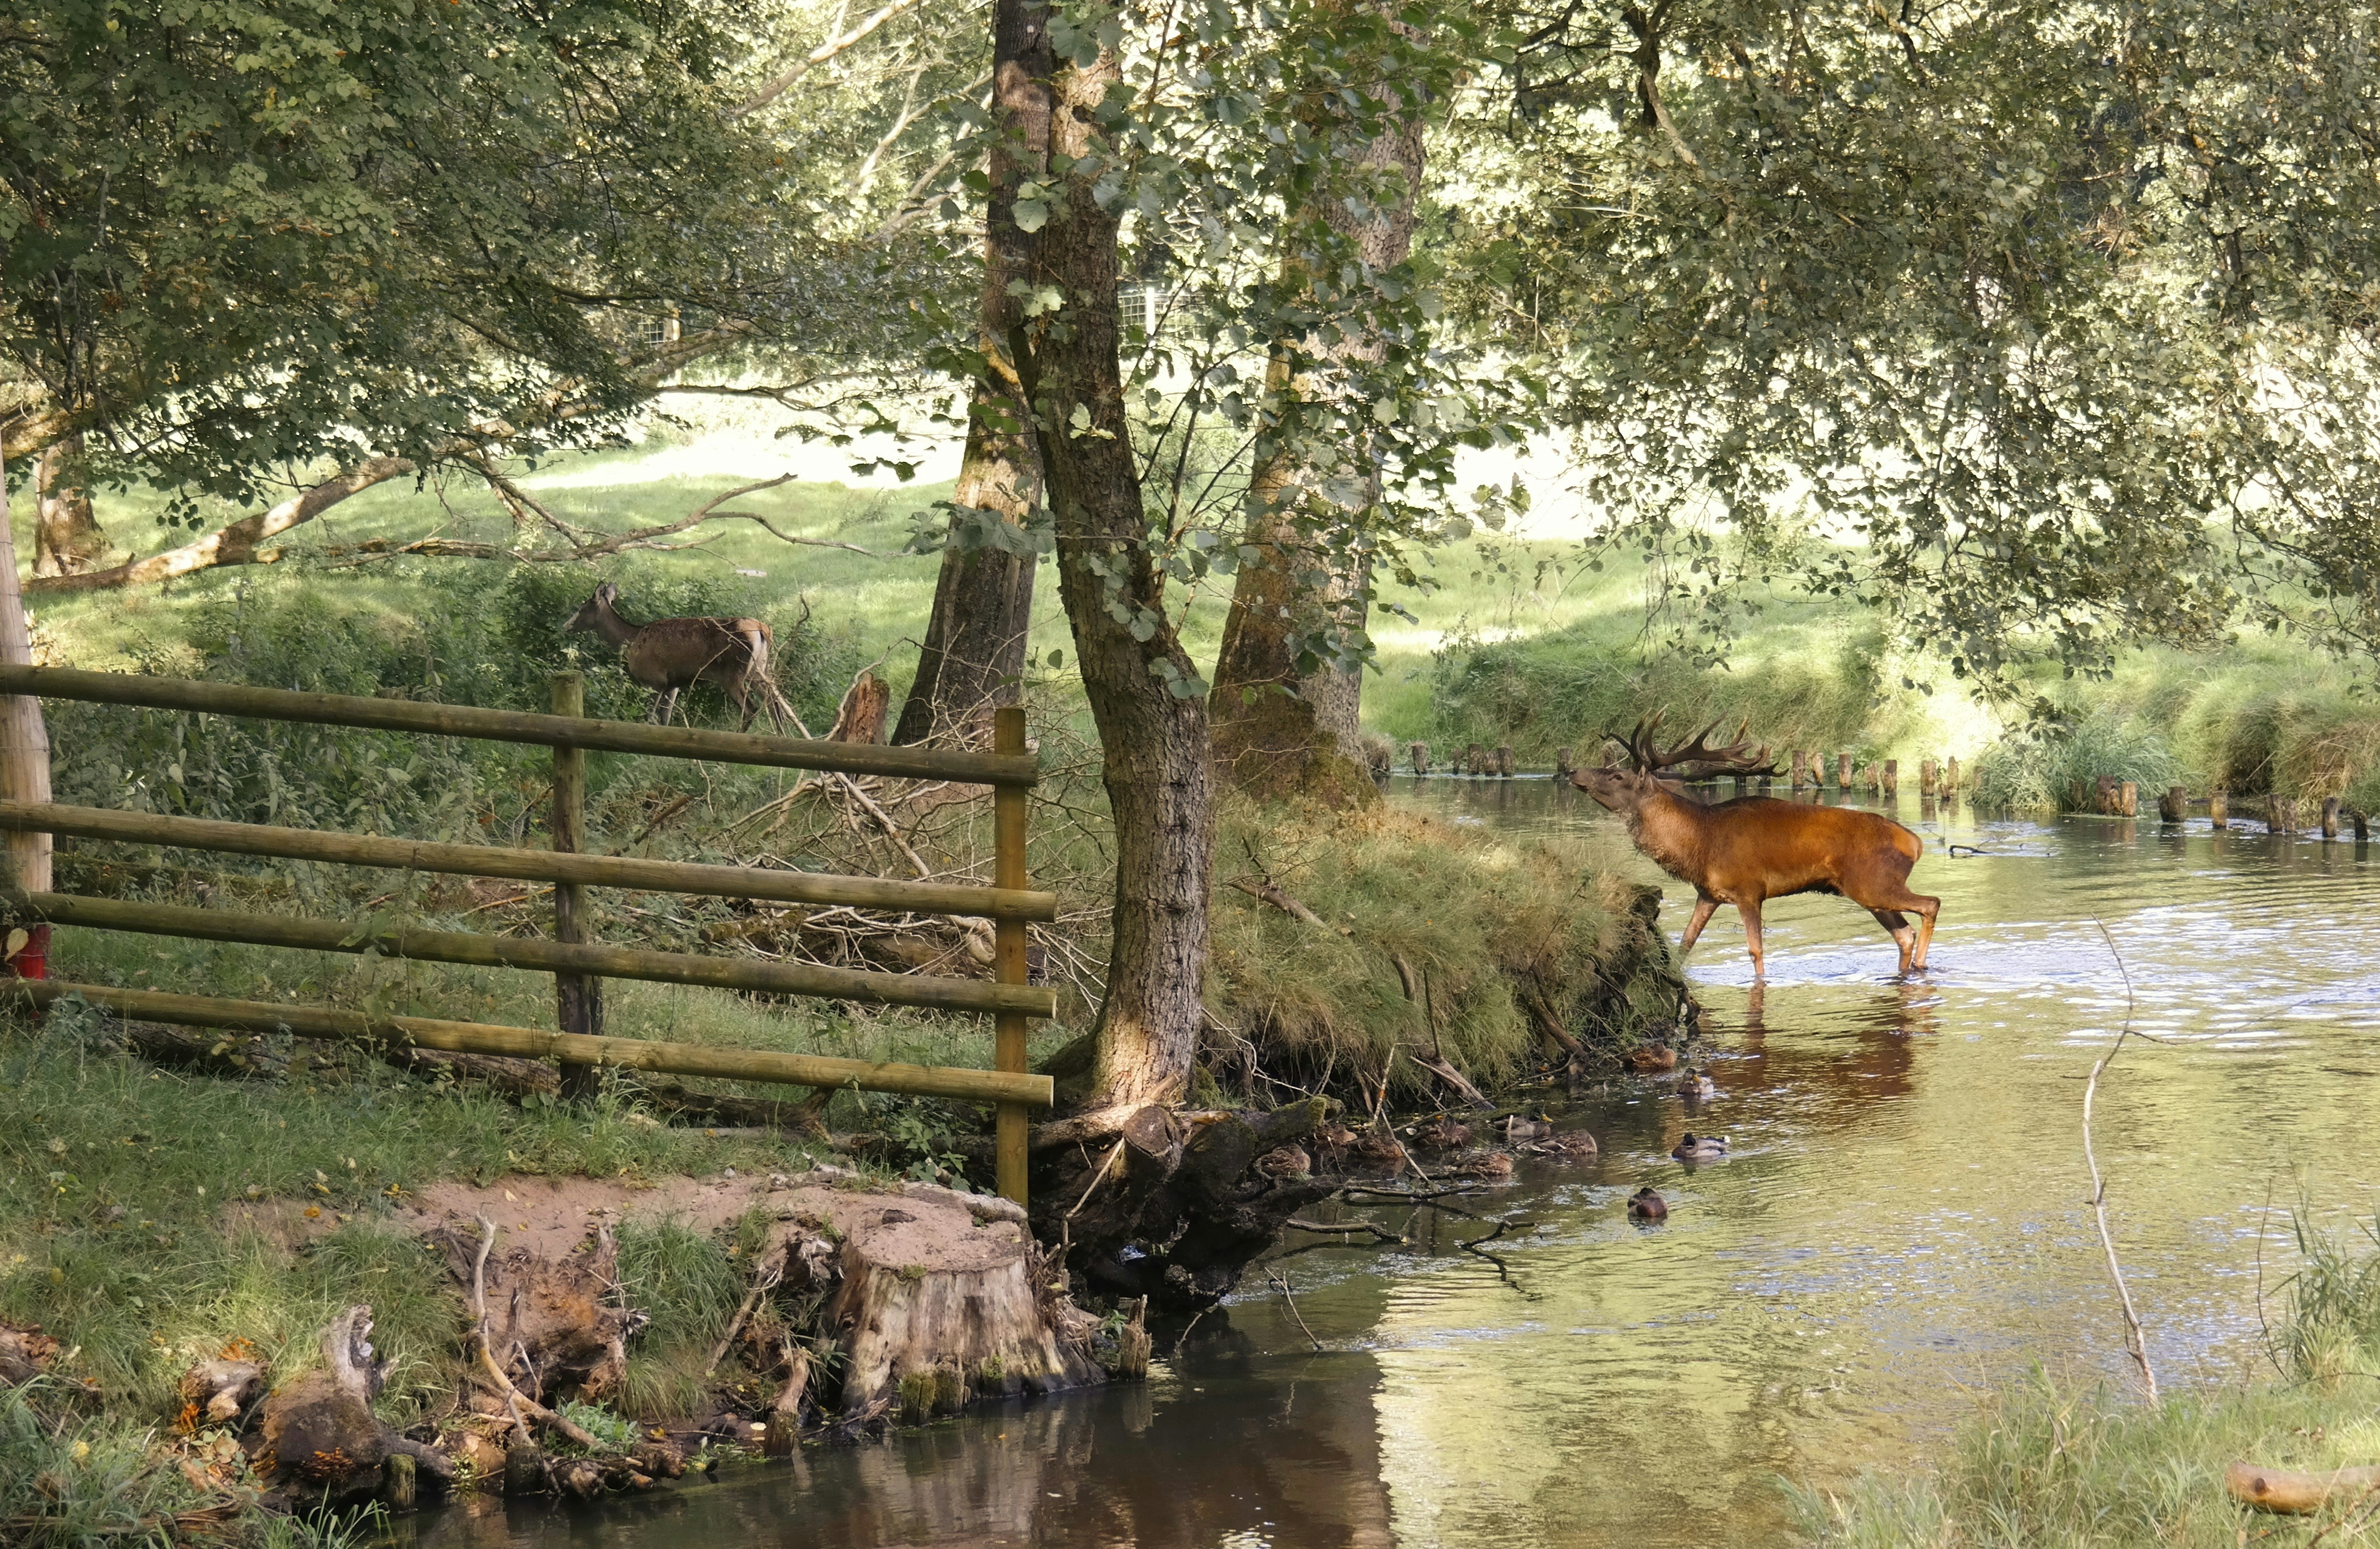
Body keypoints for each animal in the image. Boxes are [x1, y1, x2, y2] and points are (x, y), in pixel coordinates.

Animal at [563, 582, 790, 732]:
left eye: (581, 608)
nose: (566, 626)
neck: (632, 640)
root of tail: (763, 630)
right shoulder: (672, 684)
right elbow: (666, 719)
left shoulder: (653, 679)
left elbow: (651, 718)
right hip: (759, 669)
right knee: (774, 702)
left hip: (733, 672)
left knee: (751, 709)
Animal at [1572, 715, 1940, 977]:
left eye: (1618, 776)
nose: (1575, 771)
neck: (1700, 842)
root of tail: (1915, 843)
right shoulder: (1708, 893)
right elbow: (1685, 945)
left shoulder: (1749, 889)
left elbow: (1755, 951)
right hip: (1869, 892)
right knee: (1904, 934)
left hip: (1874, 883)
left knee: (1931, 903)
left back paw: (1923, 964)